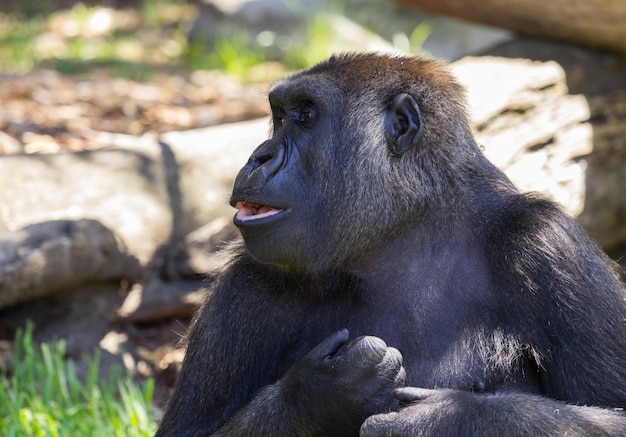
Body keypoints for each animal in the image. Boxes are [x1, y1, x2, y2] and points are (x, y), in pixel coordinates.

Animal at [156, 52, 624, 434]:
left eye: (306, 115)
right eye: (281, 116)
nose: (259, 157)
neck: (406, 233)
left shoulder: (548, 243)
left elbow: (612, 410)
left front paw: (448, 418)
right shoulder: (244, 284)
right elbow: (189, 431)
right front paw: (318, 395)